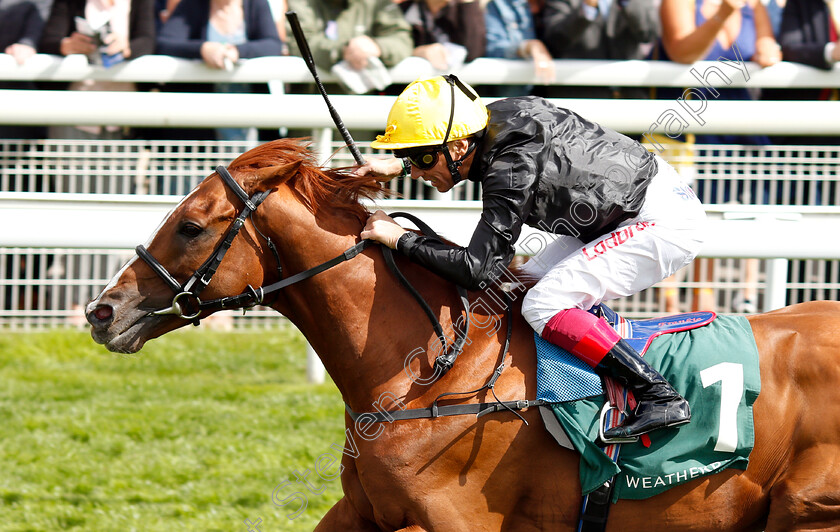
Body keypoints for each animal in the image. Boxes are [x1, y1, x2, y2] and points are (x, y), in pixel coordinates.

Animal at [85, 139, 840, 528]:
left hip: (805, 507)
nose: (102, 311)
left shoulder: (452, 520)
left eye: (190, 225)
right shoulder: (363, 513)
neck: (432, 374)